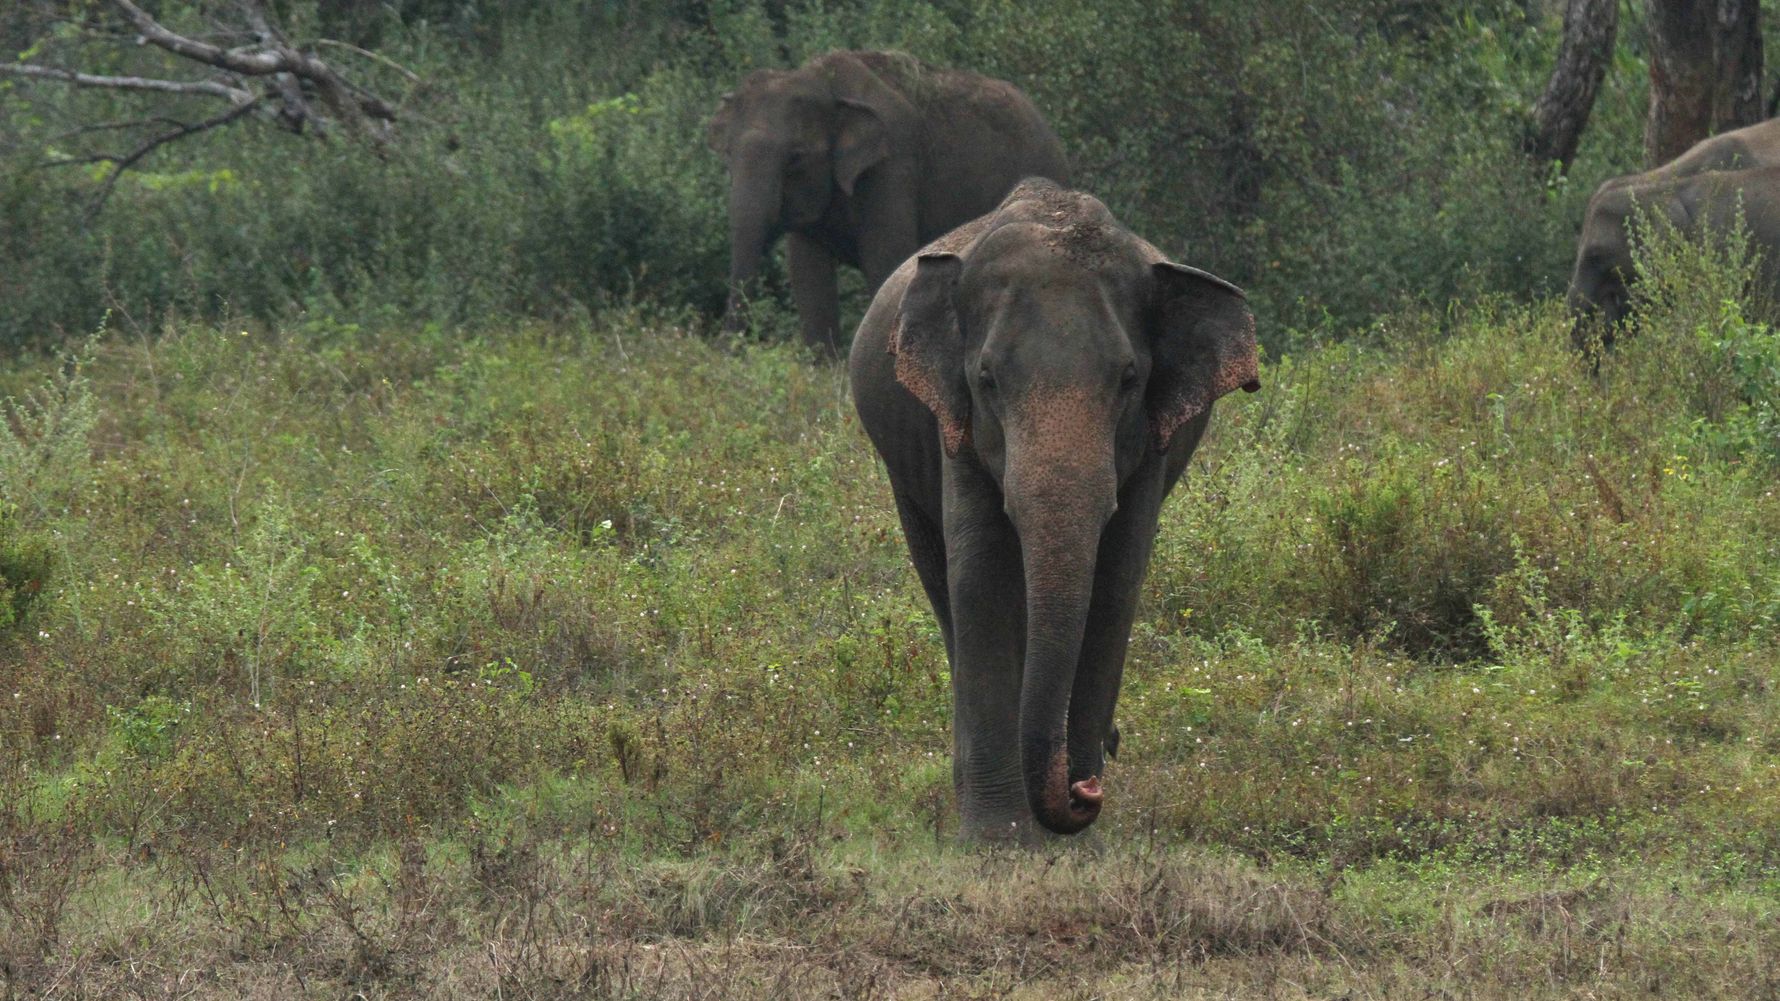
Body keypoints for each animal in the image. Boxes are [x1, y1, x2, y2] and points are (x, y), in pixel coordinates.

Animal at [707, 50, 1068, 356]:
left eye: (795, 158)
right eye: (727, 153)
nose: (728, 349)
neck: (825, 84)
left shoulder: (893, 165)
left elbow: (886, 257)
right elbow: (807, 271)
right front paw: (821, 367)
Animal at [848, 180, 1260, 841]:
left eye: (1130, 378)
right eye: (987, 378)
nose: (1084, 790)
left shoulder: (1150, 445)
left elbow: (1116, 581)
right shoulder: (955, 428)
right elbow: (983, 576)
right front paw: (999, 838)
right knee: (940, 576)